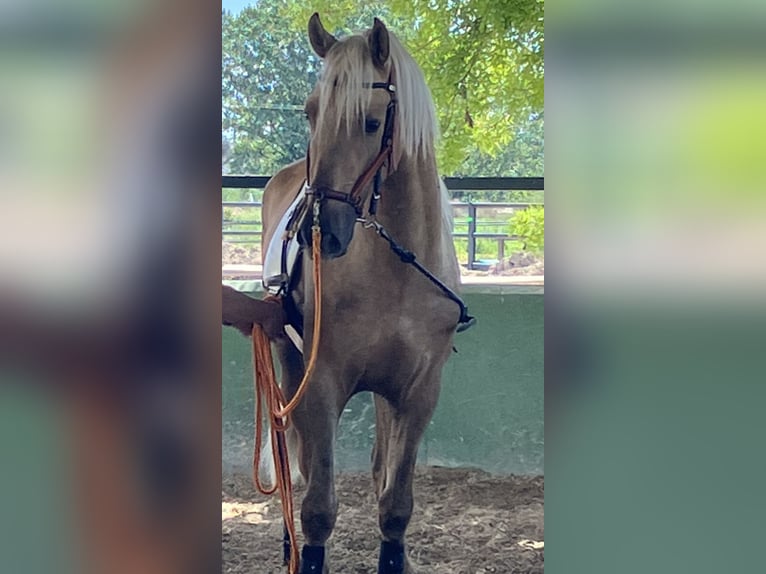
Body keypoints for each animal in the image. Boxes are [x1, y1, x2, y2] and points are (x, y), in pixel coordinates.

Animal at [258, 13, 474, 574]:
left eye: (372, 122)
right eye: (311, 113)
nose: (319, 230)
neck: (394, 272)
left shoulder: (418, 392)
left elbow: (394, 502)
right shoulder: (320, 383)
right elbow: (318, 506)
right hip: (289, 365)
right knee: (294, 464)